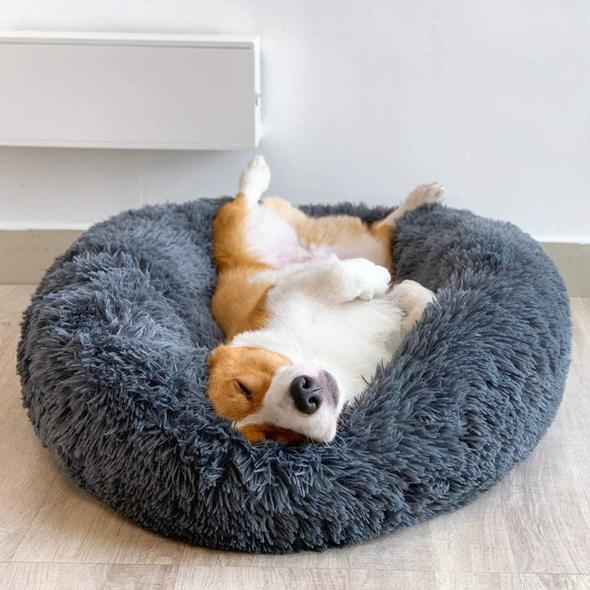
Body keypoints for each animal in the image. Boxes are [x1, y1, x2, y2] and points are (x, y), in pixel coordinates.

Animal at [208, 157, 444, 444]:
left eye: (243, 387)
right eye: (272, 435)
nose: (305, 394)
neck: (322, 354)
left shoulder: (281, 292)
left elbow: (337, 273)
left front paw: (377, 279)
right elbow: (415, 307)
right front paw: (409, 293)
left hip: (239, 232)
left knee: (242, 201)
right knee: (382, 228)